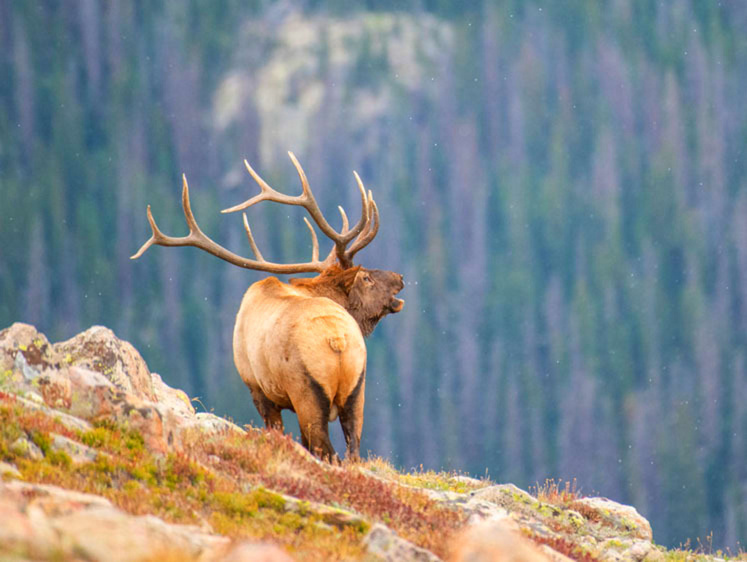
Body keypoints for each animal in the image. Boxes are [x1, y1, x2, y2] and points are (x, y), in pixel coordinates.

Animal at [131, 152, 406, 460]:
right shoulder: (261, 389)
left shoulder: (257, 388)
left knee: (325, 450)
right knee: (350, 451)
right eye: (366, 277)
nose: (400, 278)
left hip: (308, 394)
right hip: (354, 389)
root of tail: (337, 339)